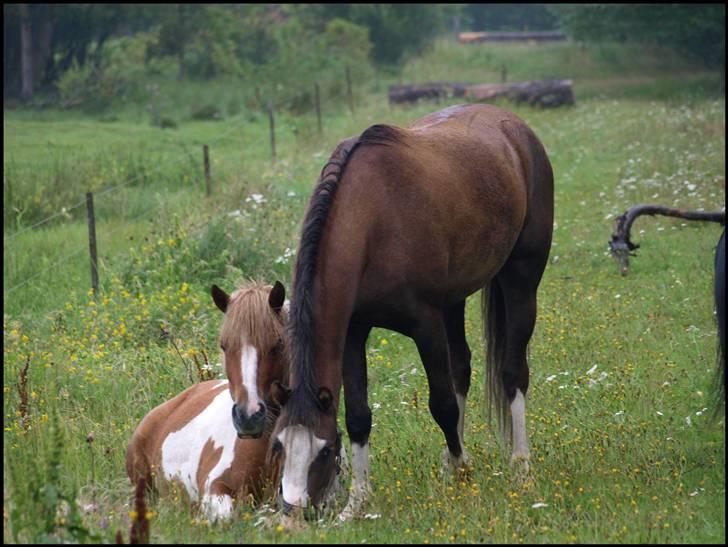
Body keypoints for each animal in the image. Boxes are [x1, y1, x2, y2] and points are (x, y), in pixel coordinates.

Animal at [270, 104, 556, 524]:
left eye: (324, 450)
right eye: (278, 445)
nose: (295, 512)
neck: (372, 220)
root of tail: (516, 127)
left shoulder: (426, 325)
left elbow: (442, 404)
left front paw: (465, 471)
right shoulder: (354, 332)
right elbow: (359, 416)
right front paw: (357, 504)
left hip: (521, 278)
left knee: (512, 374)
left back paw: (521, 469)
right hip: (454, 300)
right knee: (462, 368)